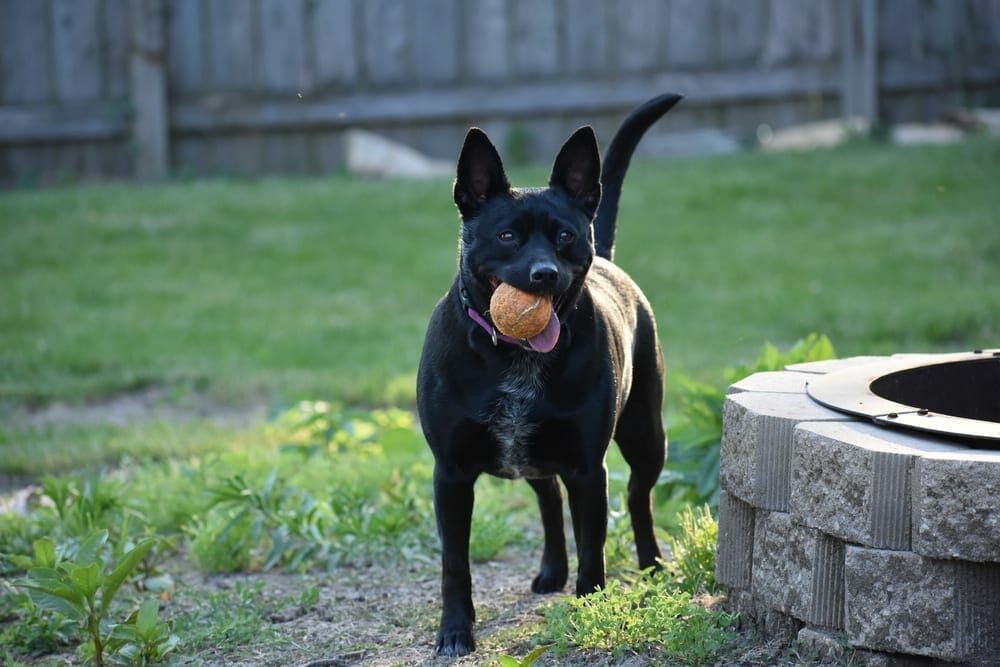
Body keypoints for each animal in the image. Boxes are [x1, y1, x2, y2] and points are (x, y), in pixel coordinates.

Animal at [414, 94, 680, 656]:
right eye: (507, 236)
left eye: (564, 236)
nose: (544, 275)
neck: (514, 358)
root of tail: (610, 262)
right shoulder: (450, 475)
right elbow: (454, 564)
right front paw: (455, 631)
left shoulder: (588, 469)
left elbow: (593, 548)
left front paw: (591, 608)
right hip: (533, 454)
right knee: (549, 500)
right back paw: (552, 571)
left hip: (646, 434)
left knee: (638, 497)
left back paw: (650, 564)